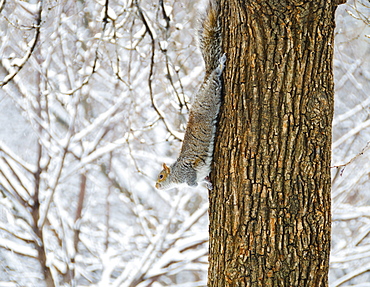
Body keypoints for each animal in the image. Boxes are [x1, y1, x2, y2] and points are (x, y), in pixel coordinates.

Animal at [155, 1, 224, 192]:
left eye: (161, 176)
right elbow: (202, 181)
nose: (156, 185)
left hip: (210, 98)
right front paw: (207, 184)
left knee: (215, 78)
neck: (176, 175)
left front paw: (195, 185)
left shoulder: (187, 170)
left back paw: (221, 65)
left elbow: (192, 181)